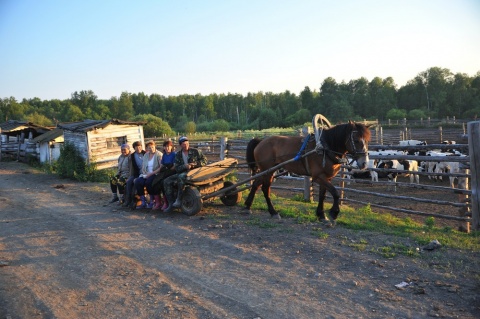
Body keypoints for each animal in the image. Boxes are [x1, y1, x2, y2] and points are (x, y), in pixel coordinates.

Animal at [244, 121, 372, 226]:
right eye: (356, 140)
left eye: (367, 140)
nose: (364, 163)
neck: (325, 147)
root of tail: (261, 141)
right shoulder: (318, 177)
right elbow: (335, 193)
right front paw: (333, 213)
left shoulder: (326, 177)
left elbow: (322, 195)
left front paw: (321, 215)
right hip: (268, 170)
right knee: (265, 189)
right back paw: (273, 212)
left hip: (266, 170)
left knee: (255, 184)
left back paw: (247, 206)